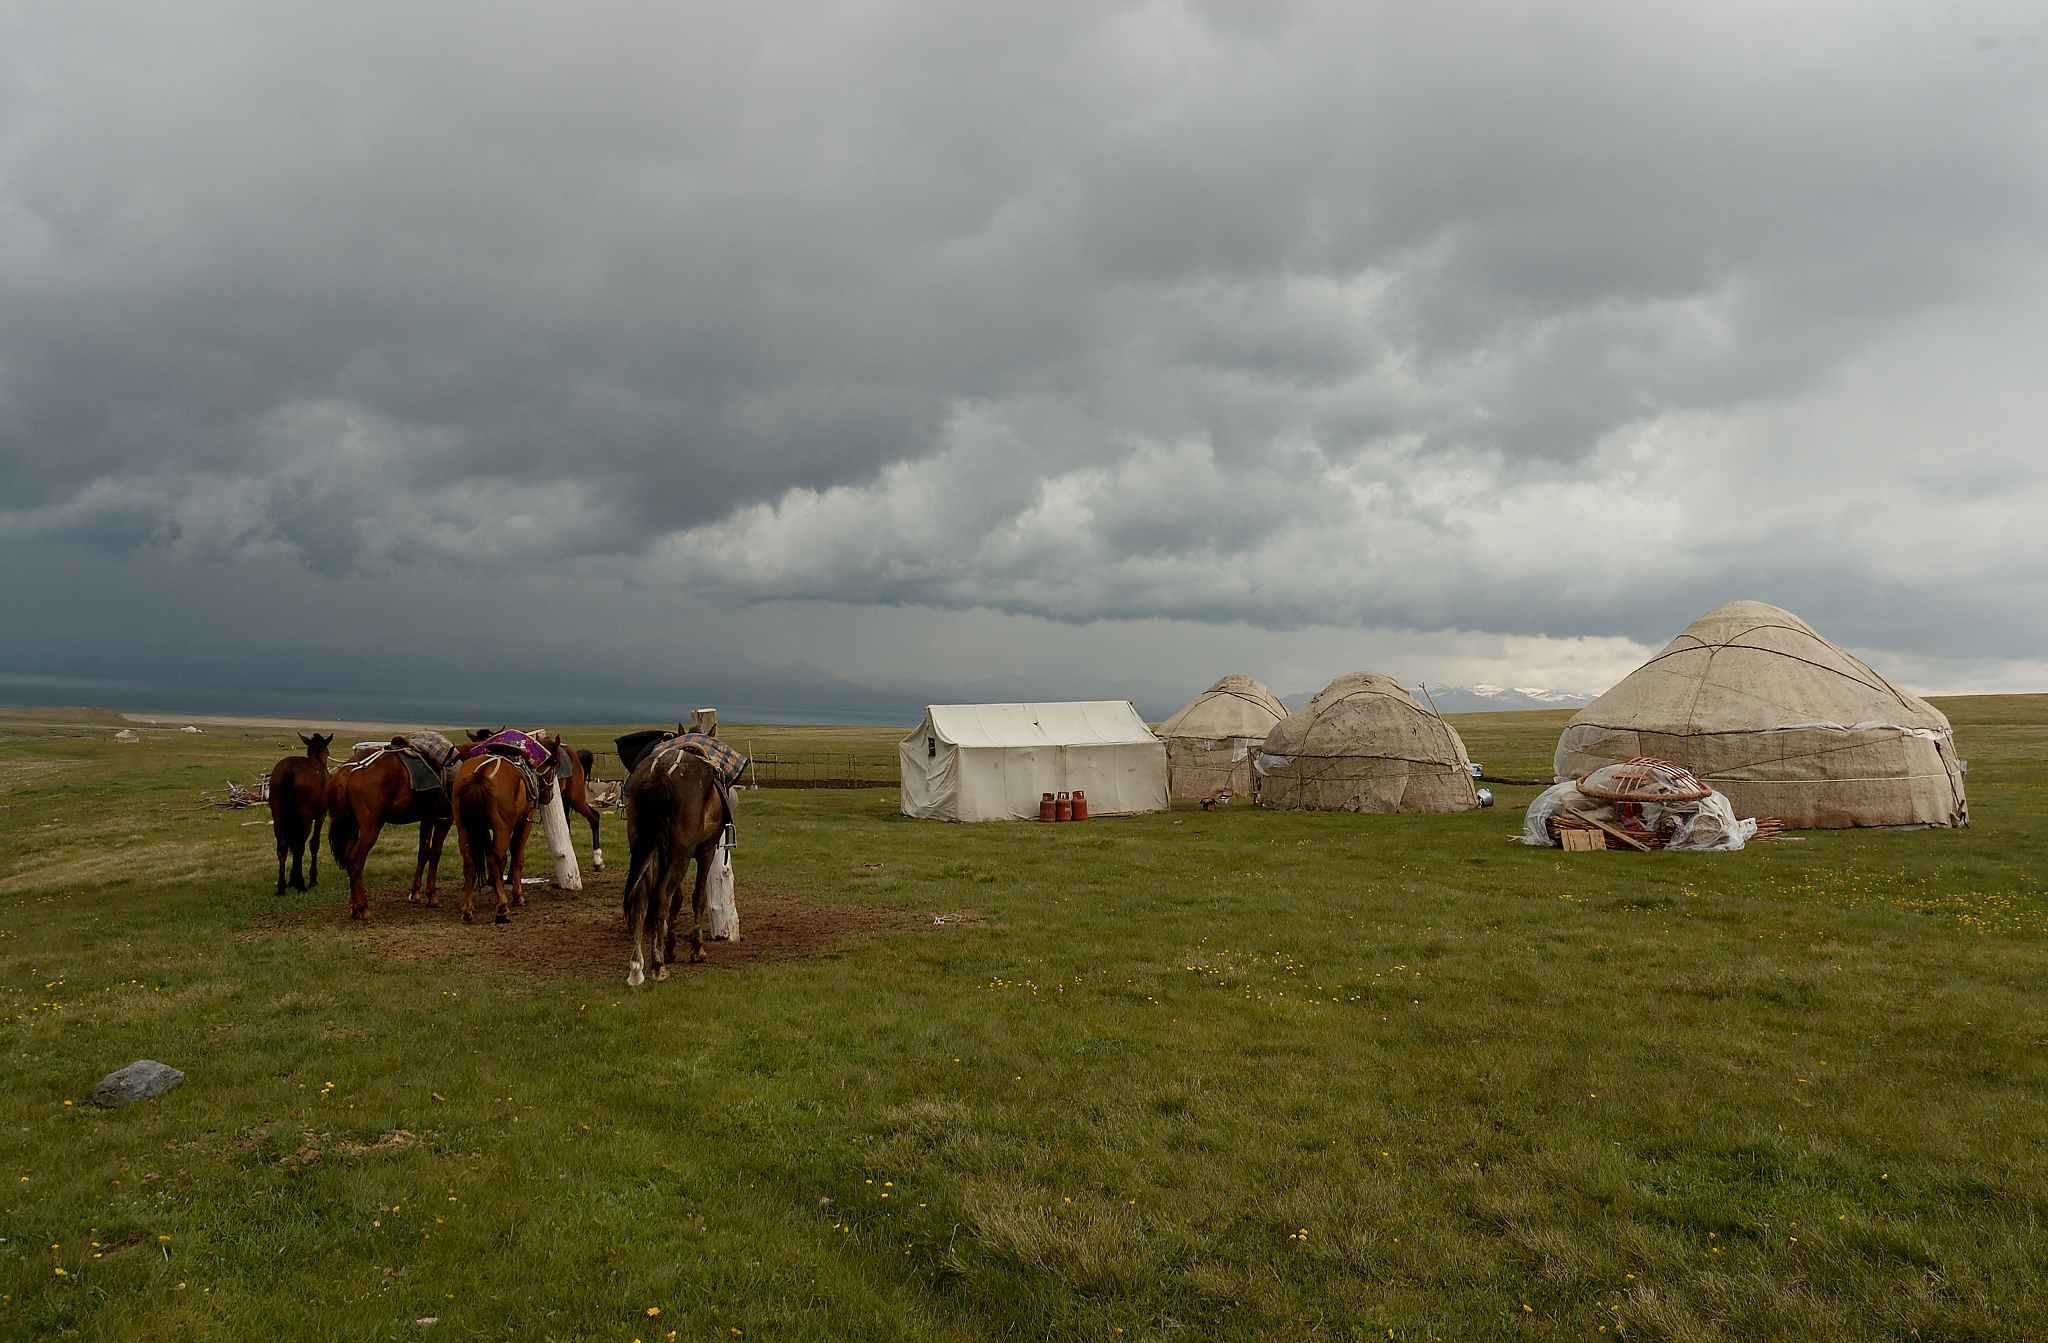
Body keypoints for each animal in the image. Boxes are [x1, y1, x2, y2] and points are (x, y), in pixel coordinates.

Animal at [267, 732, 334, 894]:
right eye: (327, 752)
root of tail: (289, 771)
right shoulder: (321, 816)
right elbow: (314, 844)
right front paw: (311, 879)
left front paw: (292, 879)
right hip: (305, 818)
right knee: (299, 846)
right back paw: (301, 884)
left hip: (278, 817)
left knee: (282, 847)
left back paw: (281, 886)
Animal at [325, 737, 456, 921]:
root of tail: (349, 771)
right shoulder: (443, 820)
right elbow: (435, 854)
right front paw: (432, 896)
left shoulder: (427, 819)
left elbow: (423, 853)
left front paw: (415, 893)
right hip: (371, 827)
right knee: (356, 862)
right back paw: (363, 908)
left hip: (350, 826)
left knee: (348, 859)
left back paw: (354, 907)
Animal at [452, 733, 567, 924]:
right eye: (556, 763)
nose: (549, 795)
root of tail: (478, 775)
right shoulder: (524, 823)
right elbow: (516, 856)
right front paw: (517, 896)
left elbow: (502, 859)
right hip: (502, 829)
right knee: (493, 860)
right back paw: (502, 908)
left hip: (464, 828)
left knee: (470, 862)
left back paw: (467, 909)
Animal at [621, 742, 729, 986]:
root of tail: (658, 774)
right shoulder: (705, 852)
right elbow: (698, 897)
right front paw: (697, 949)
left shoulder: (667, 856)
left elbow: (676, 900)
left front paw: (670, 947)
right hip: (682, 854)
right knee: (660, 897)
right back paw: (658, 965)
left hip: (648, 849)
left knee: (641, 899)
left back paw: (636, 968)